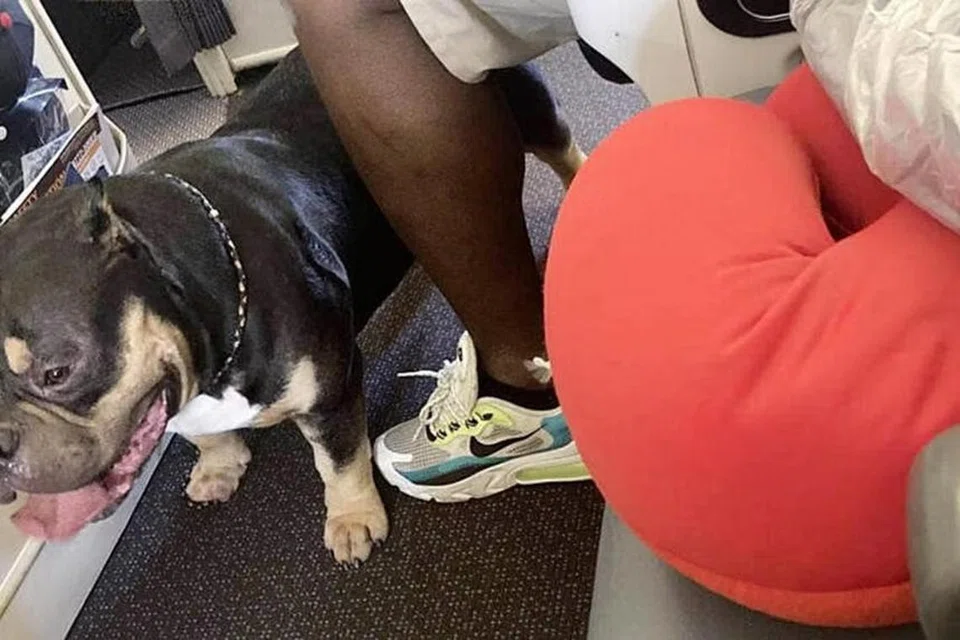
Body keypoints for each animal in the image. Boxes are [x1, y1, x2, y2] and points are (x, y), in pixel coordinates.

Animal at [0, 49, 584, 564]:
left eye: (57, 372)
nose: (1, 446)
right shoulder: (176, 403)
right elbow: (198, 433)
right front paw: (218, 464)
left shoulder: (331, 391)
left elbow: (338, 459)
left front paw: (351, 519)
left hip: (527, 111)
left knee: (562, 150)